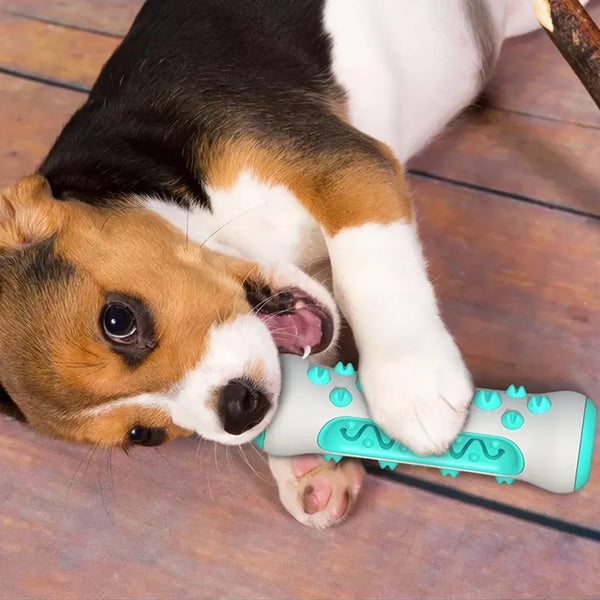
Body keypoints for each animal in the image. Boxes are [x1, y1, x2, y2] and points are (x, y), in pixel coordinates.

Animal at [1, 0, 580, 524]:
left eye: (118, 320)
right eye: (143, 436)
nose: (239, 411)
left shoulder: (345, 167)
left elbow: (367, 270)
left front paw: (410, 382)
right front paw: (307, 468)